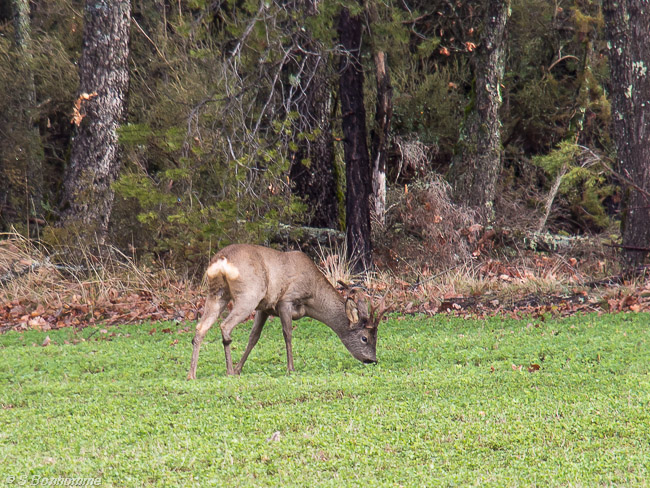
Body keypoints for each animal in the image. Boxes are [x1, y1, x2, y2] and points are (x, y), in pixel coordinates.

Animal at [185, 244, 382, 378]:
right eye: (365, 338)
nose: (372, 360)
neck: (312, 296)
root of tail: (222, 261)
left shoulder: (264, 308)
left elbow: (253, 337)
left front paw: (240, 367)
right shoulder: (285, 301)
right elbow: (287, 334)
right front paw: (290, 368)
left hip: (217, 293)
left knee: (201, 328)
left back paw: (192, 374)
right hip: (249, 294)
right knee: (225, 326)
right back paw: (229, 371)